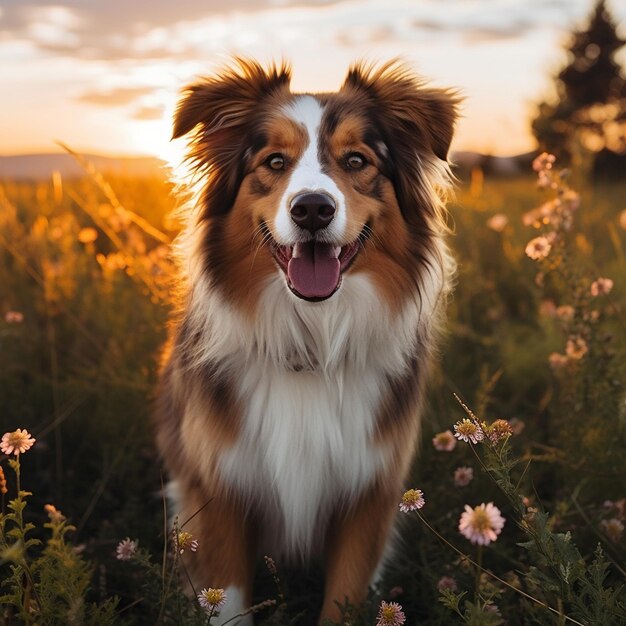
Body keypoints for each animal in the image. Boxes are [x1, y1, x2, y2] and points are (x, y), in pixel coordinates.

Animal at [155, 59, 458, 624]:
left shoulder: (368, 494)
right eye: (275, 161)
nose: (313, 209)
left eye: (357, 160)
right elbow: (228, 601)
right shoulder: (219, 491)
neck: (313, 338)